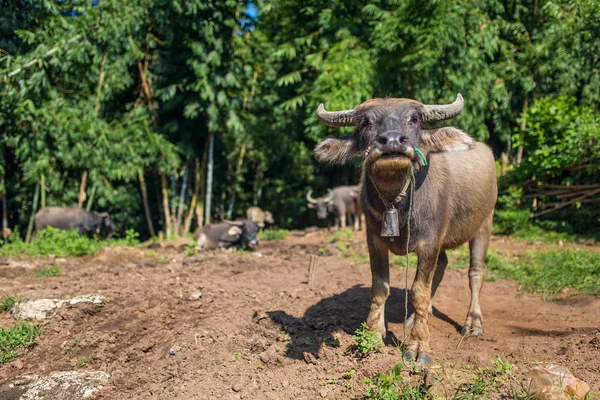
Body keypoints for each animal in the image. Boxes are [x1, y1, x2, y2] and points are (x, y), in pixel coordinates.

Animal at [314, 93, 496, 362]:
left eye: (414, 119)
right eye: (365, 122)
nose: (391, 141)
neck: (396, 203)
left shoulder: (430, 242)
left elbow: (419, 290)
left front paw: (419, 344)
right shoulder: (374, 240)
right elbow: (380, 287)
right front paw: (373, 333)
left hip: (484, 225)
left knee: (475, 273)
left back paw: (472, 323)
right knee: (442, 267)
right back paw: (416, 317)